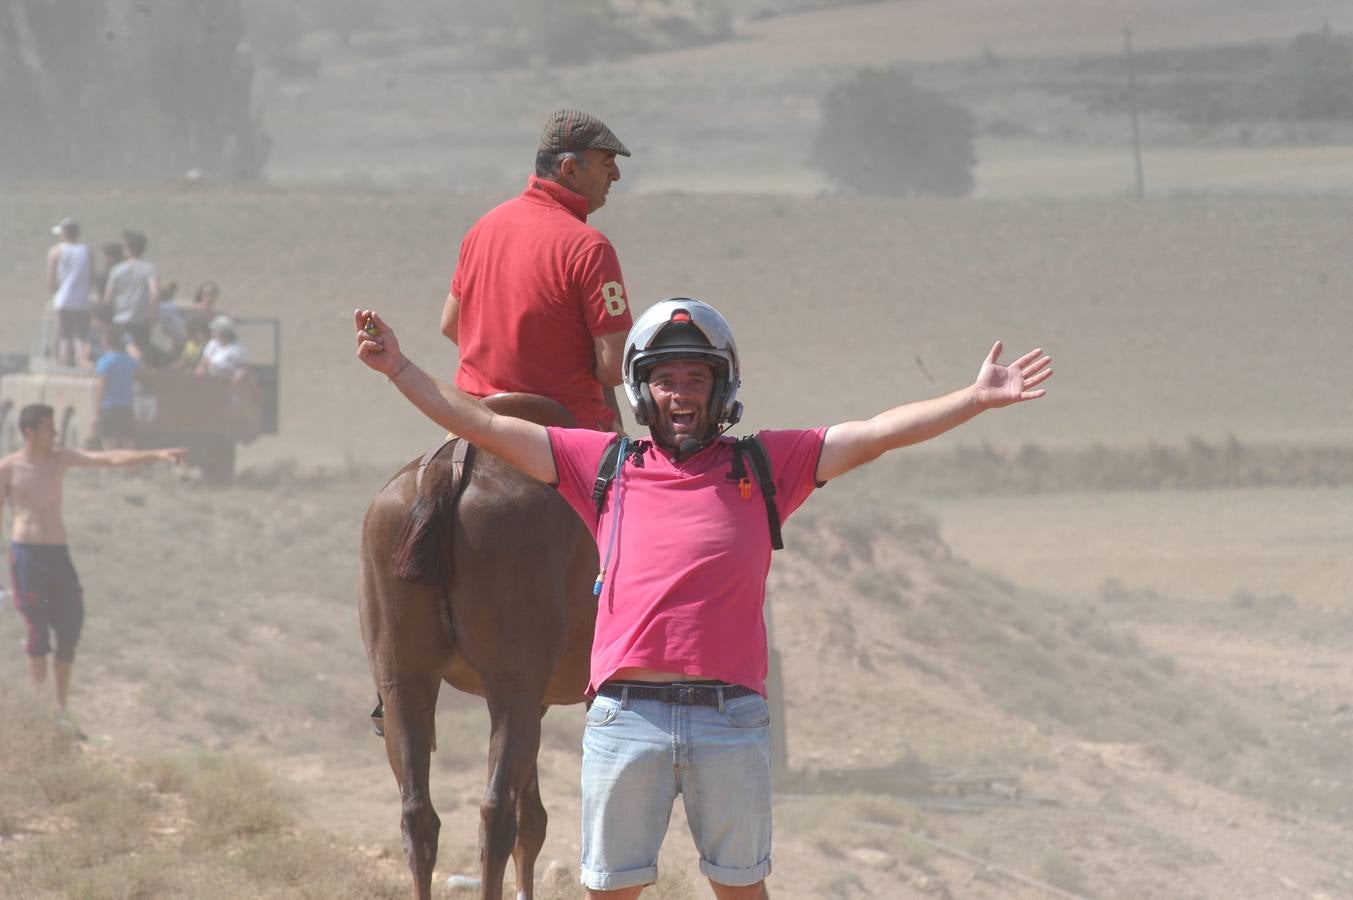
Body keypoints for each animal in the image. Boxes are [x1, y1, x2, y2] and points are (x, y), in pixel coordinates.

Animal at [359, 395, 598, 898]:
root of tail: (448, 468)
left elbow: (535, 819)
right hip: (514, 689)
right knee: (497, 812)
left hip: (404, 678)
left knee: (419, 814)